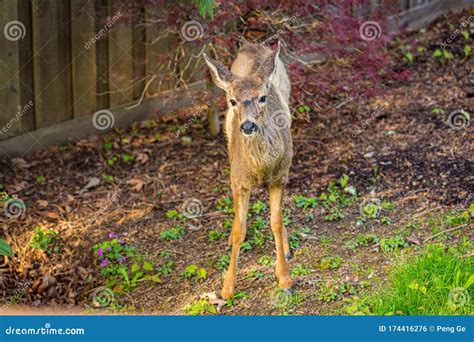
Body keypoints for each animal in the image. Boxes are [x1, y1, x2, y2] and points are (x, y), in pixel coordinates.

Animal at [204, 42, 292, 300]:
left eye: (262, 97)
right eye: (233, 100)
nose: (248, 125)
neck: (260, 169)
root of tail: (252, 45)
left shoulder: (280, 177)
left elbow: (275, 221)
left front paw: (284, 278)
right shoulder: (238, 181)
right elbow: (238, 230)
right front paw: (227, 288)